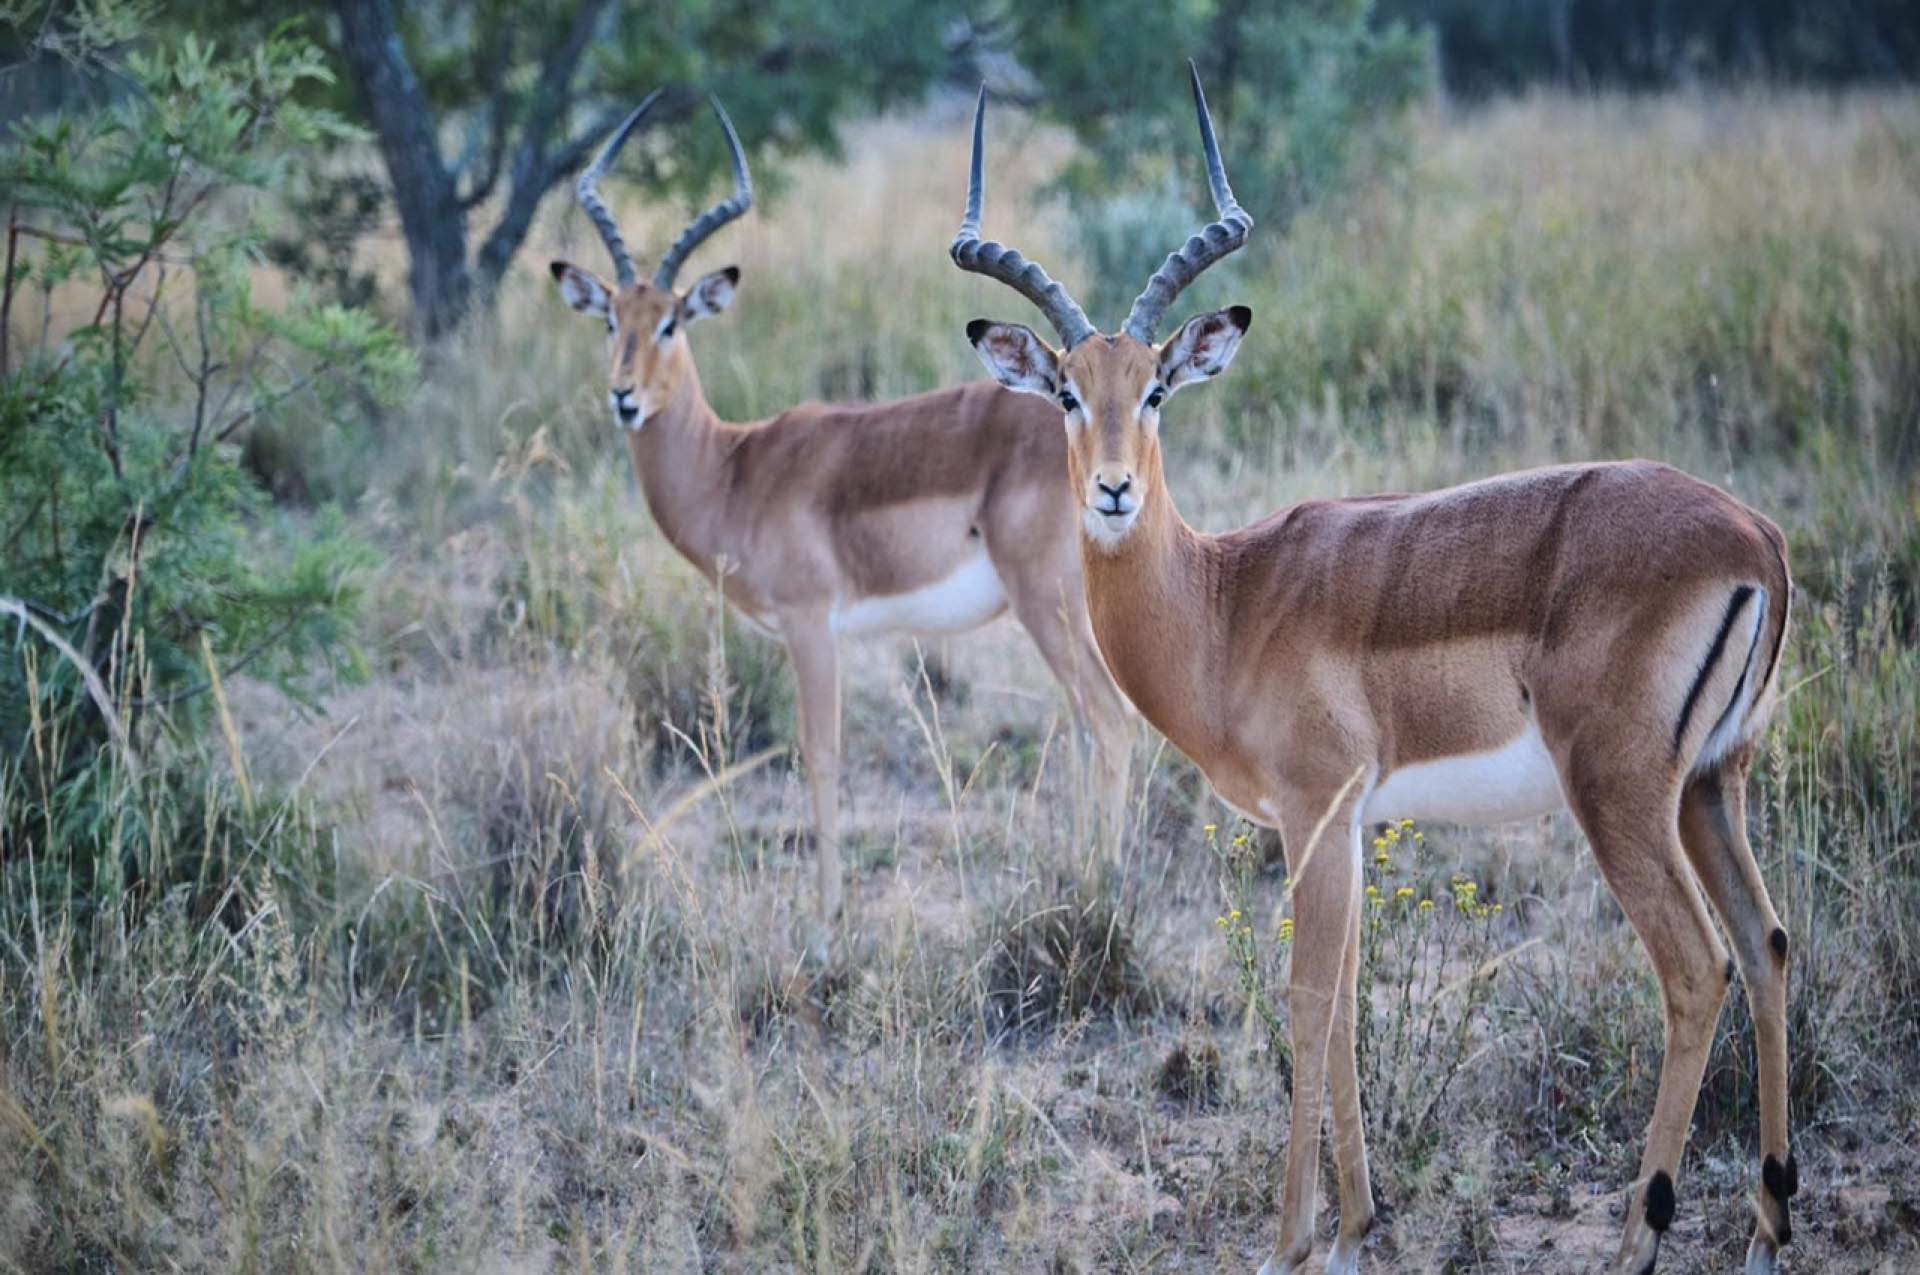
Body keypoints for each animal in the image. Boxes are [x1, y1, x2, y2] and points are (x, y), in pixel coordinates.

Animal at [548, 92, 1132, 953]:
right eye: (608, 320)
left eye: (671, 323)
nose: (624, 397)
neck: (733, 468)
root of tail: (1106, 443)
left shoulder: (808, 624)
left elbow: (819, 756)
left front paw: (824, 926)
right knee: (1091, 728)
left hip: (1046, 603)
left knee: (1110, 721)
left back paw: (1104, 894)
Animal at [952, 66, 1796, 1275]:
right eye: (1067, 390)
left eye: (1156, 386)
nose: (1113, 490)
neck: (1225, 601)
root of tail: (1756, 535)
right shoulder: (1346, 822)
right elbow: (1350, 1002)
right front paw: (1356, 1227)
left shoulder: (1313, 808)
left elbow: (1307, 1001)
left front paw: (1290, 1241)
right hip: (1712, 785)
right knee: (1767, 946)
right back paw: (1768, 1232)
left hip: (1622, 793)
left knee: (1696, 967)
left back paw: (1642, 1236)